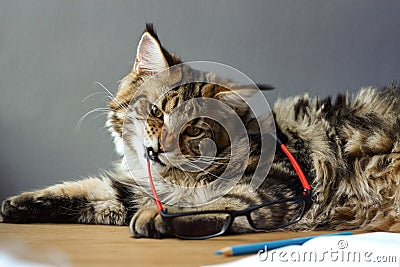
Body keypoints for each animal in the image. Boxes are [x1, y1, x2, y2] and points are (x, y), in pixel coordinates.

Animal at [0, 24, 400, 239]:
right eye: (156, 111)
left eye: (194, 130)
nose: (161, 147)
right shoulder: (134, 189)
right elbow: (87, 191)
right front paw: (19, 203)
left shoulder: (274, 186)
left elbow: (210, 202)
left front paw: (157, 217)